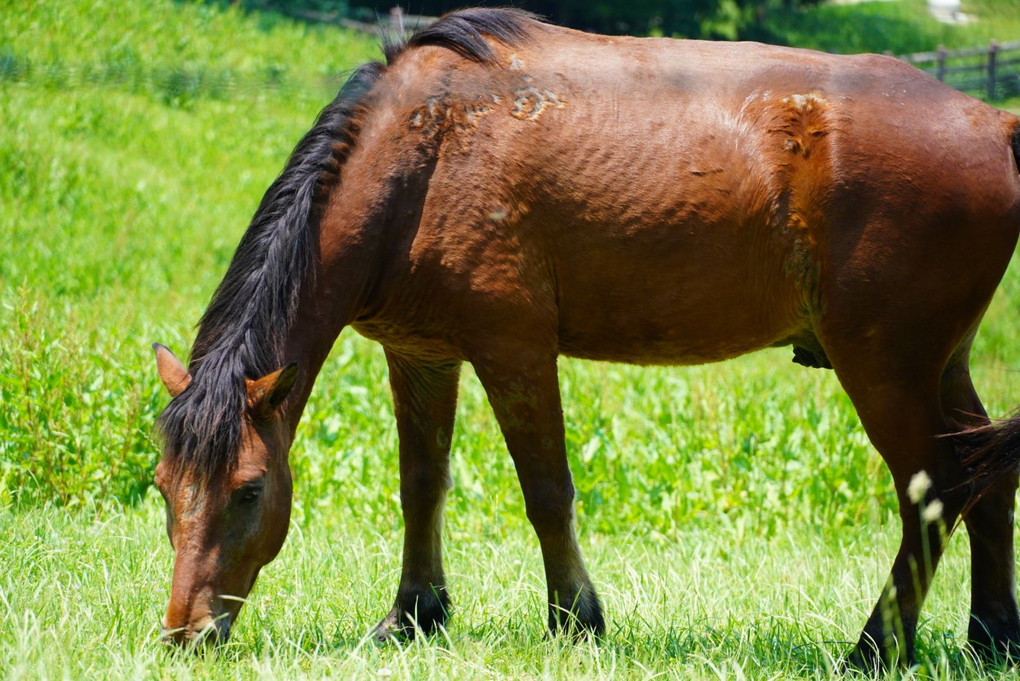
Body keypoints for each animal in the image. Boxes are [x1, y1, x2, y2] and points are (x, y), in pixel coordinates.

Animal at [150, 9, 1020, 668]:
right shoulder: (421, 355)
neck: (423, 153)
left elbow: (547, 491)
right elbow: (420, 485)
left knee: (937, 488)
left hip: (883, 365)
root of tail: (995, 121)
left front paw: (576, 618)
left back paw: (875, 647)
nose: (186, 633)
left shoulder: (515, 350)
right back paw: (991, 636)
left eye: (249, 490)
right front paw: (414, 615)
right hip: (939, 363)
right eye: (162, 487)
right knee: (987, 475)